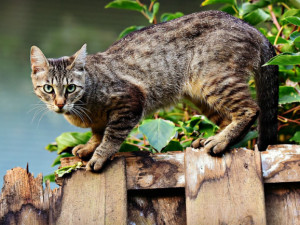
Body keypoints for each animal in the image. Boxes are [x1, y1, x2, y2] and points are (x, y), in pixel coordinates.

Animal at [29, 10, 278, 171]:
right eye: (48, 88)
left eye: (70, 88)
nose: (60, 103)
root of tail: (252, 28)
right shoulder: (99, 121)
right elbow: (97, 133)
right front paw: (89, 147)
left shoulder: (130, 101)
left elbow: (111, 135)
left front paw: (100, 155)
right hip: (199, 95)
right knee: (228, 117)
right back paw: (212, 138)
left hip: (214, 80)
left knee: (250, 109)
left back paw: (219, 141)